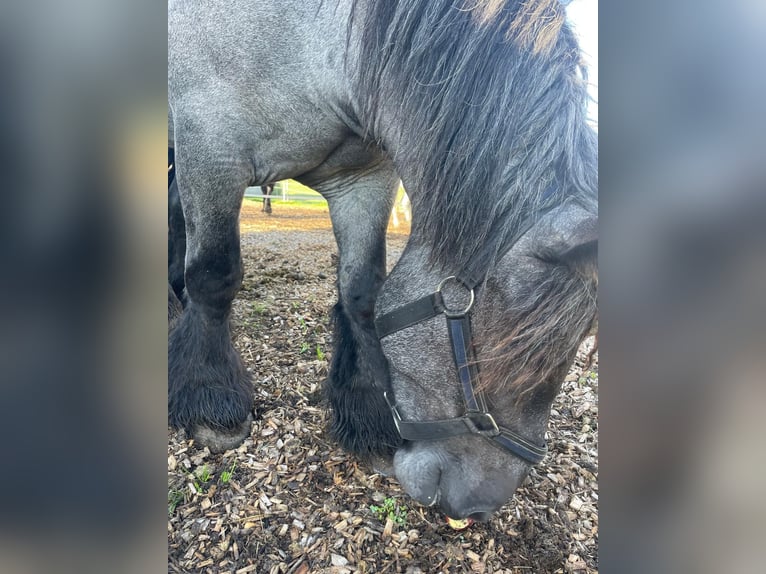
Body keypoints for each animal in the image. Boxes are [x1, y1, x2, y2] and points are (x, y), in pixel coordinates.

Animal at [170, 0, 600, 520]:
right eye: (513, 352)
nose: (480, 507)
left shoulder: (363, 176)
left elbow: (362, 292)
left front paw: (368, 411)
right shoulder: (209, 149)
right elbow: (214, 275)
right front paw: (211, 401)